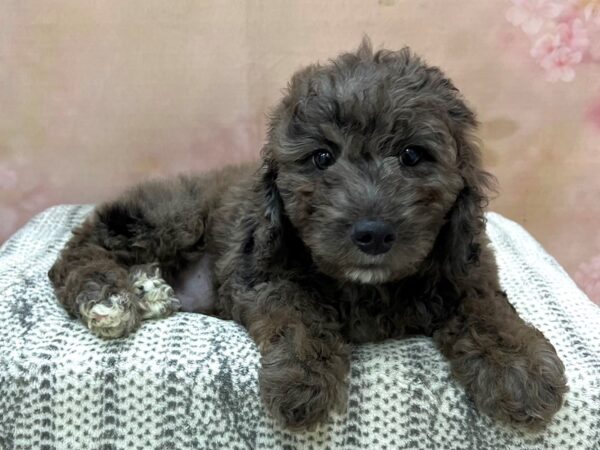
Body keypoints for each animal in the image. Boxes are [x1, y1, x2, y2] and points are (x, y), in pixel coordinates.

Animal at [48, 40, 568, 430]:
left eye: (412, 155)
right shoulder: (258, 273)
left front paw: (519, 367)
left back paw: (149, 290)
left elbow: (486, 306)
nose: (373, 234)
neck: (367, 286)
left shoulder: (464, 266)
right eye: (322, 157)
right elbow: (297, 310)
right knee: (79, 250)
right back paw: (109, 297)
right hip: (173, 215)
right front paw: (303, 378)